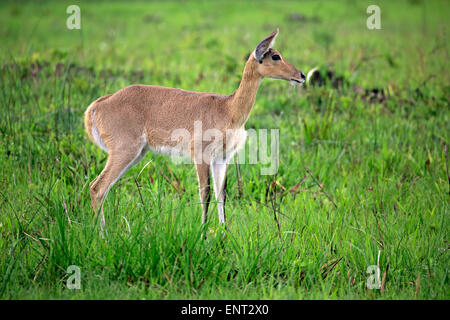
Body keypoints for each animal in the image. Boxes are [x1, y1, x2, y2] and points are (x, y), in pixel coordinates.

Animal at [83, 28, 306, 230]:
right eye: (275, 56)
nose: (302, 75)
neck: (228, 109)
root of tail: (98, 105)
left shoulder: (222, 158)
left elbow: (221, 194)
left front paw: (224, 233)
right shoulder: (201, 156)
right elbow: (204, 193)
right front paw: (203, 232)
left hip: (137, 154)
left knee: (102, 188)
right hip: (125, 151)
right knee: (97, 187)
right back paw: (103, 235)